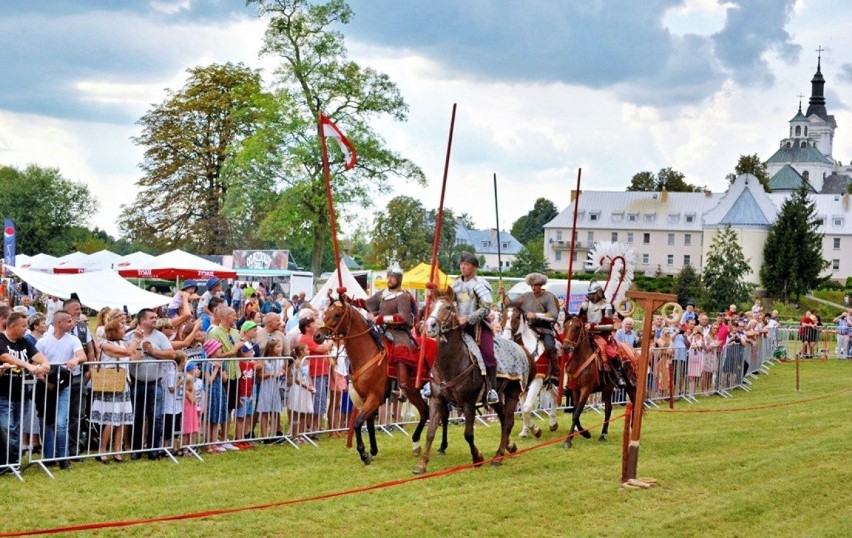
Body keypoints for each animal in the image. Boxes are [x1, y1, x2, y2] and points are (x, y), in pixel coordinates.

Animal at [312, 296, 446, 462]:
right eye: (325, 313)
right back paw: (419, 444)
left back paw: (439, 446)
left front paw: (363, 453)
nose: (317, 336)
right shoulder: (366, 398)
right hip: (414, 391)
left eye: (337, 315)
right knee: (427, 412)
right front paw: (372, 450)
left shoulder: (374, 397)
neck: (367, 353)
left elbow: (358, 423)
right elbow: (368, 424)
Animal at [414, 286, 532, 472]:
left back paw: (498, 457)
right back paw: (509, 447)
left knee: (508, 422)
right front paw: (422, 464)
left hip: (512, 393)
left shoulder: (468, 403)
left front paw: (477, 457)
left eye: (448, 307)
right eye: (431, 307)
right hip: (495, 397)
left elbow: (468, 434)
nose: (430, 326)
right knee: (503, 418)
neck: (452, 363)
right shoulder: (436, 400)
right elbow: (431, 431)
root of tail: (520, 348)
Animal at [500, 302, 560, 436]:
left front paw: (536, 430)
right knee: (554, 396)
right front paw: (526, 430)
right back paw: (553, 423)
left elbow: (527, 407)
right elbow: (523, 408)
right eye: (503, 316)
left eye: (516, 317)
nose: (506, 338)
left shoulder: (537, 380)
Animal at [564, 316, 636, 446]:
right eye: (565, 326)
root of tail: (634, 351)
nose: (566, 347)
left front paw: (569, 440)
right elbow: (575, 412)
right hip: (608, 389)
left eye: (577, 327)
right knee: (608, 409)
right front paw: (583, 433)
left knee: (634, 403)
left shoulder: (586, 389)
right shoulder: (575, 390)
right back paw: (603, 434)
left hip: (631, 387)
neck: (581, 359)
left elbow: (577, 413)